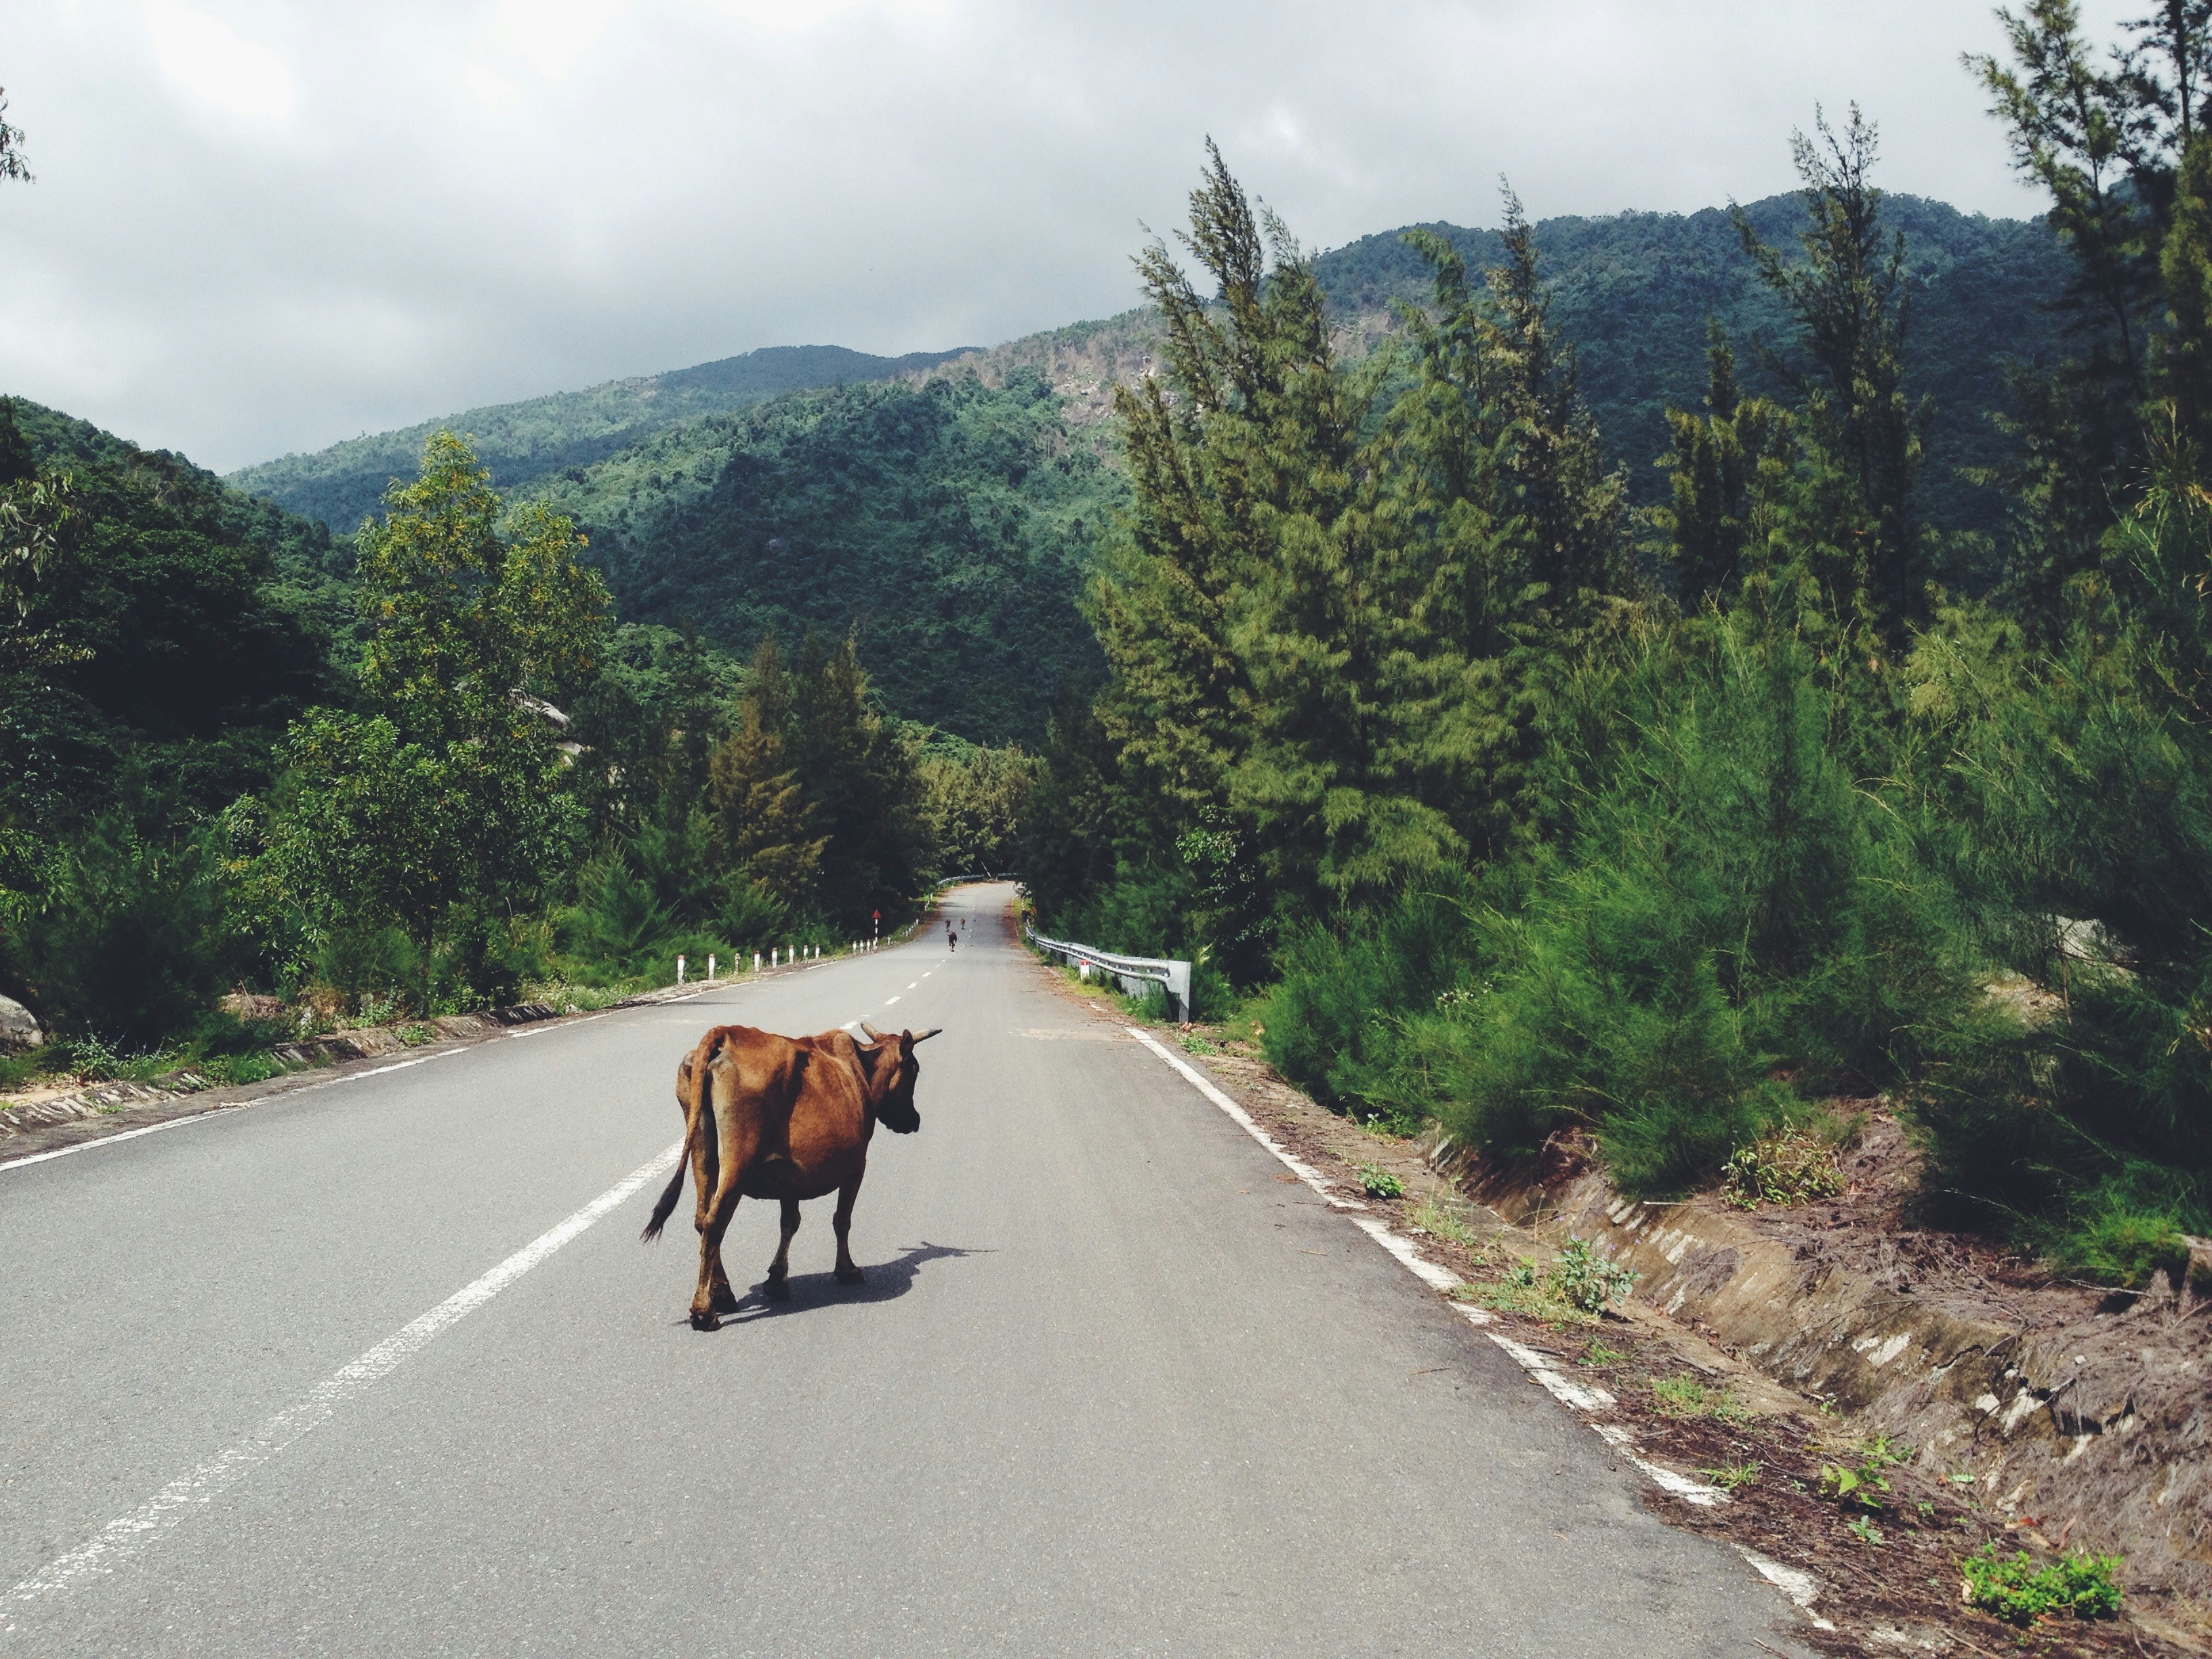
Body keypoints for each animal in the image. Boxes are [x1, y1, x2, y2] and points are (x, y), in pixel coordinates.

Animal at [637, 1021, 937, 1336]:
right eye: (915, 1070)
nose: (915, 1121)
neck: (863, 1072)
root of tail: (727, 1034)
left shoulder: (789, 1175)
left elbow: (790, 1223)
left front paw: (777, 1280)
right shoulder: (857, 1166)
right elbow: (841, 1220)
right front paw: (847, 1269)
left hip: (702, 1151)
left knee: (701, 1218)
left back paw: (723, 1294)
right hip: (737, 1161)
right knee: (714, 1223)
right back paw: (704, 1311)